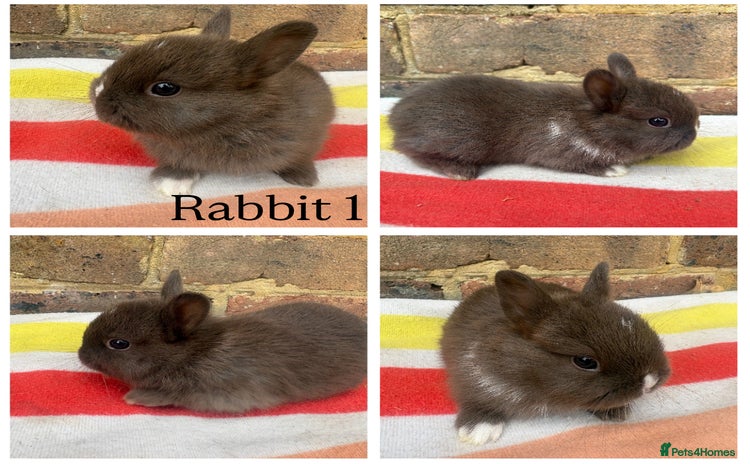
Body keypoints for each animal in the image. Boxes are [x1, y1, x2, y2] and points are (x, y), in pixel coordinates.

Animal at [389, 53, 699, 179]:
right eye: (658, 121)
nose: (695, 130)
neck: (589, 124)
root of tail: (396, 116)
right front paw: (614, 170)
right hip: (464, 141)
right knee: (412, 150)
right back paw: (460, 172)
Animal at [440, 262, 670, 445]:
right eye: (585, 361)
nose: (650, 381)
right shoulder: (470, 374)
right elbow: (475, 399)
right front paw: (479, 430)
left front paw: (616, 412)